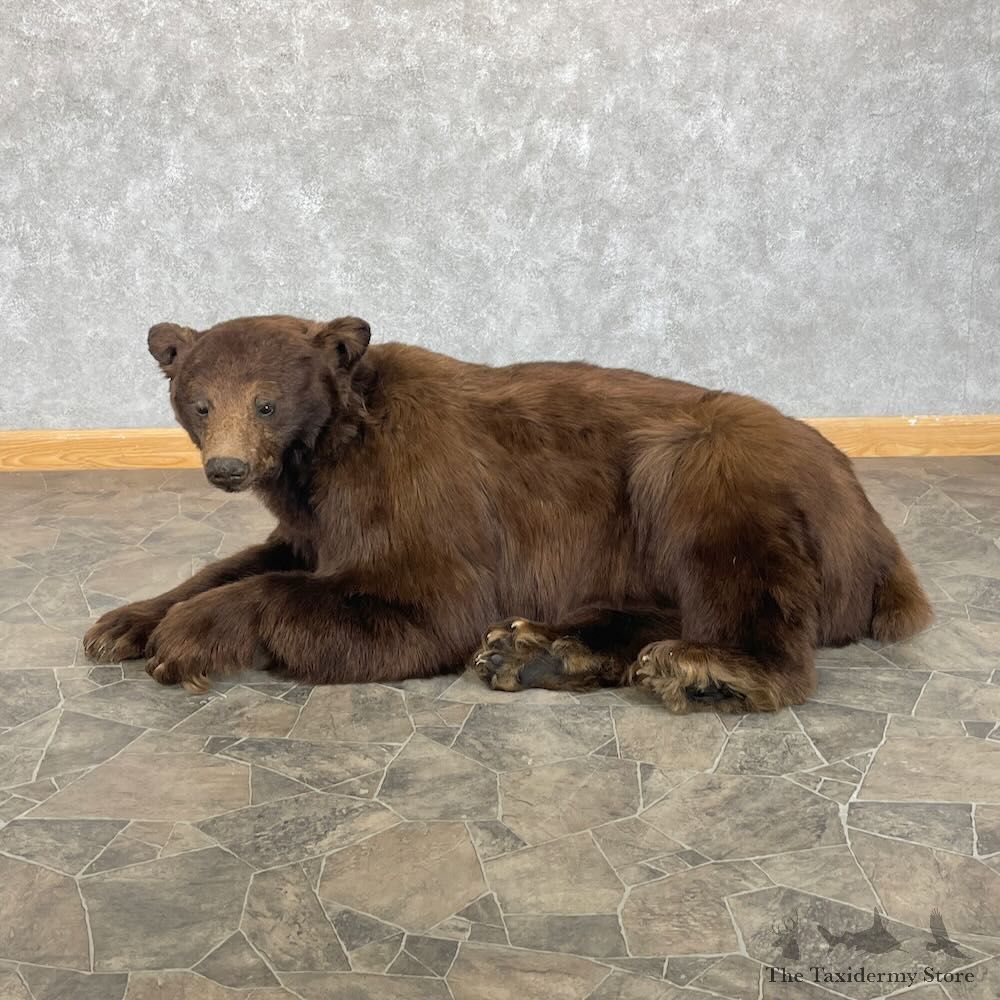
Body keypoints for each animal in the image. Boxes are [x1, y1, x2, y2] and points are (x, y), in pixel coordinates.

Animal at [83, 314, 932, 713]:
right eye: (199, 400)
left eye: (265, 401)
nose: (226, 467)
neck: (327, 450)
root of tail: (882, 541)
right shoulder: (316, 515)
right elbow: (264, 554)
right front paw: (123, 621)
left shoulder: (420, 482)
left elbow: (423, 606)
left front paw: (186, 636)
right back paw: (535, 652)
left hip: (704, 463)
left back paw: (707, 669)